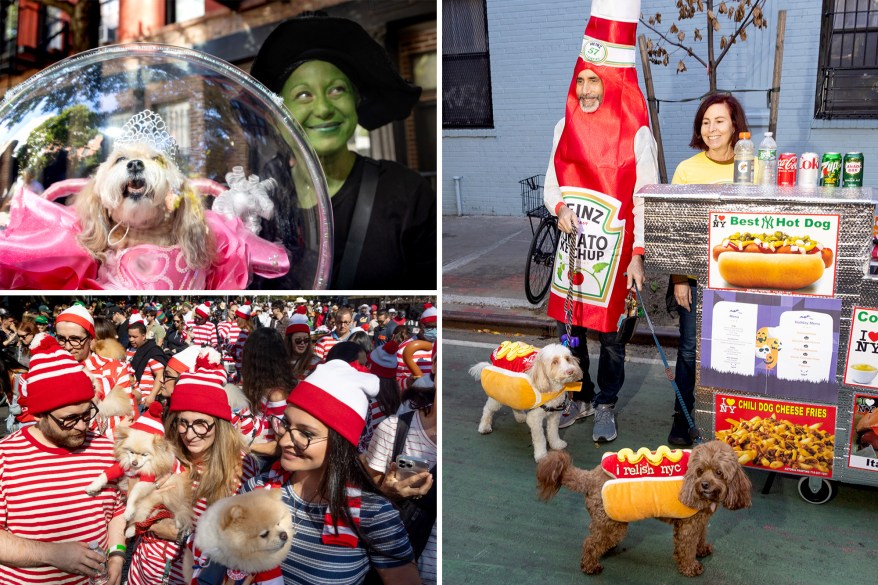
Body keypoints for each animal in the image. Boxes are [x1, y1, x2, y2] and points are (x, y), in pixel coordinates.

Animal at [540, 442, 752, 576]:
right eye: (700, 471)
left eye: (719, 472)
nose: (705, 485)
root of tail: (590, 477)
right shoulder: (688, 527)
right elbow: (686, 549)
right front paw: (690, 568)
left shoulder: (699, 522)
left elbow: (700, 538)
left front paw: (702, 550)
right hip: (612, 524)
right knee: (590, 543)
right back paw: (591, 566)